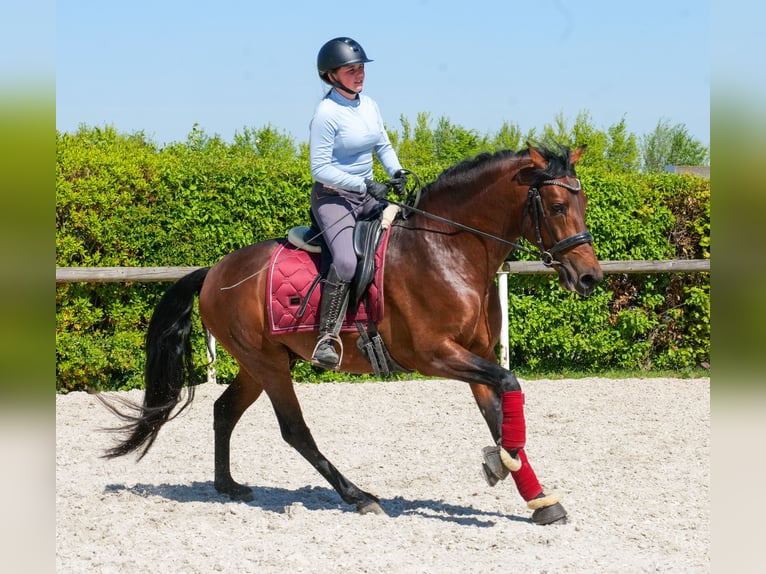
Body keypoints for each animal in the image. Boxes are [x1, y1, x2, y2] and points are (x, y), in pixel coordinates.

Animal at [100, 143, 603, 525]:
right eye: (557, 206)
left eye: (581, 205)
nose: (589, 278)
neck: (448, 249)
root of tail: (213, 273)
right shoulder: (435, 354)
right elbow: (509, 387)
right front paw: (503, 463)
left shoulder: (475, 354)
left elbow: (499, 412)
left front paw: (537, 497)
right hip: (268, 365)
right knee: (295, 431)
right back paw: (358, 496)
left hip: (260, 363)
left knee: (224, 411)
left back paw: (228, 485)